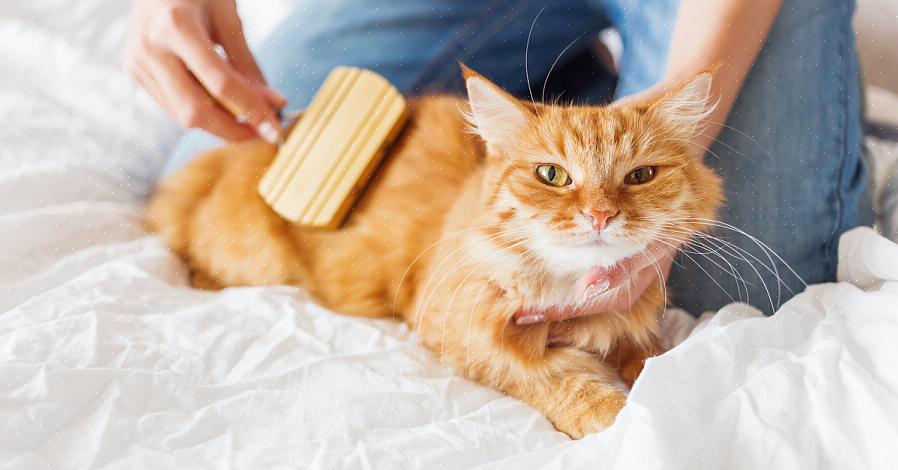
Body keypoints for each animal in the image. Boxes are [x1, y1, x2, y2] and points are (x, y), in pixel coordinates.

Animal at [147, 67, 720, 440]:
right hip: (256, 259)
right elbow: (556, 379)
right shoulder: (463, 330)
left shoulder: (634, 324)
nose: (601, 215)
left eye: (640, 176)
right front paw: (618, 416)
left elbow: (655, 358)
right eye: (552, 175)